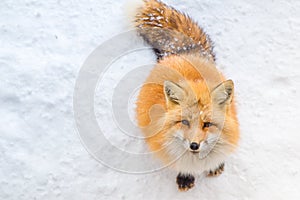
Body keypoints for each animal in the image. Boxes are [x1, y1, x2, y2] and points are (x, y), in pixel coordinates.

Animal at [131, 0, 239, 191]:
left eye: (207, 124)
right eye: (185, 122)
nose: (194, 145)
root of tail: (183, 53)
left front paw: (215, 166)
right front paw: (186, 176)